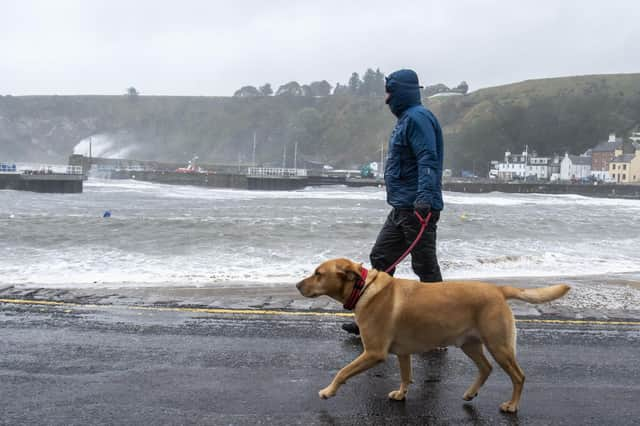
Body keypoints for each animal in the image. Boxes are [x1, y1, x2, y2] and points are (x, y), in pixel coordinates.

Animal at [296, 258, 568, 412]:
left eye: (318, 274)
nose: (297, 285)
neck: (363, 289)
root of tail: (498, 290)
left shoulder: (373, 352)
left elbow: (342, 372)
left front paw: (328, 391)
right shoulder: (403, 353)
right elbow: (406, 375)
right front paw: (402, 393)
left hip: (498, 345)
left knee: (518, 376)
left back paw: (512, 406)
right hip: (470, 344)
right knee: (486, 368)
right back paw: (471, 392)